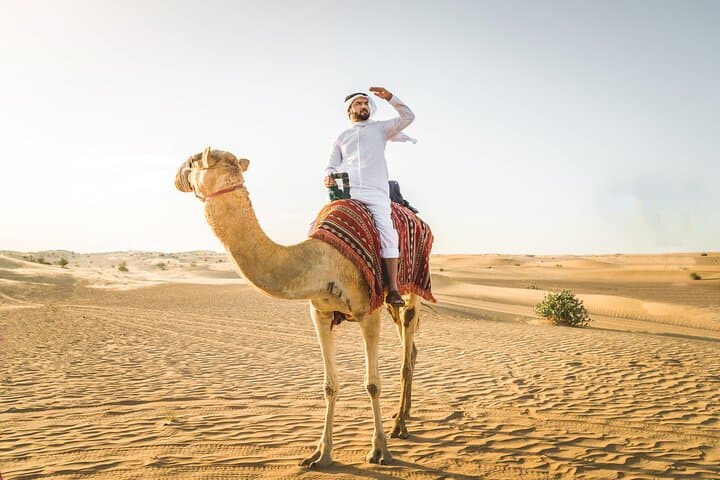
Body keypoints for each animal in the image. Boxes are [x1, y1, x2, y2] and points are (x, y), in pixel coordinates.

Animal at [175, 148, 422, 467]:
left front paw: (379, 450)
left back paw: (399, 426)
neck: (320, 261)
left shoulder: (367, 312)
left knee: (406, 348)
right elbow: (329, 385)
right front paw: (321, 454)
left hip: (409, 288)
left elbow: (372, 384)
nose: (177, 176)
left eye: (193, 162)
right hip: (390, 304)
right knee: (411, 347)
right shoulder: (320, 312)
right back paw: (401, 415)